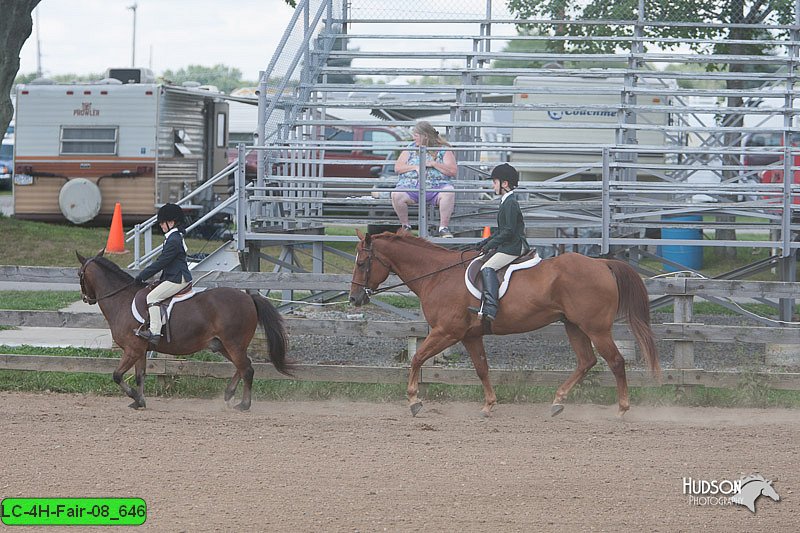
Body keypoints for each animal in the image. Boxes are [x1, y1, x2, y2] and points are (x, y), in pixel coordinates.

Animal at [76, 251, 290, 410]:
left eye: (79, 274)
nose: (86, 299)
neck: (122, 300)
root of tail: (248, 298)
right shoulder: (140, 350)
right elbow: (139, 376)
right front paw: (139, 401)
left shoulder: (132, 349)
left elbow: (117, 375)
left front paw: (135, 397)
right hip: (223, 345)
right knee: (243, 366)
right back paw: (229, 394)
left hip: (233, 344)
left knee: (247, 369)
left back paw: (244, 405)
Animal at [346, 231, 660, 418]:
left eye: (361, 263)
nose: (354, 298)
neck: (437, 274)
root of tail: (602, 264)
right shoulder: (470, 335)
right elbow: (482, 368)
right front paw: (489, 404)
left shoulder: (447, 331)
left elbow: (417, 359)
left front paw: (414, 401)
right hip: (573, 325)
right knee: (586, 361)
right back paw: (557, 402)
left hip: (595, 328)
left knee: (615, 362)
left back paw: (622, 409)